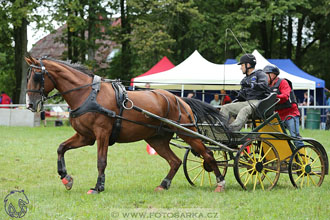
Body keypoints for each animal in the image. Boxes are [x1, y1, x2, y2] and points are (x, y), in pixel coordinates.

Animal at [24, 55, 228, 193]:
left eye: (36, 76)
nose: (30, 104)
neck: (88, 94)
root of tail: (179, 99)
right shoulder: (85, 136)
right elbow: (61, 148)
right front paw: (66, 178)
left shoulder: (102, 133)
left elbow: (101, 161)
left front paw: (98, 186)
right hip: (157, 139)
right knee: (175, 161)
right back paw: (163, 184)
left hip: (188, 133)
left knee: (208, 154)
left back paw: (220, 182)